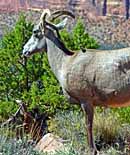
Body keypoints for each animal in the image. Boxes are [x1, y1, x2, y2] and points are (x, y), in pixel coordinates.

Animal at [22, 9, 130, 154]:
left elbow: (88, 125)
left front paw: (92, 149)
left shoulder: (86, 102)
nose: (24, 50)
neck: (65, 62)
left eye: (35, 32)